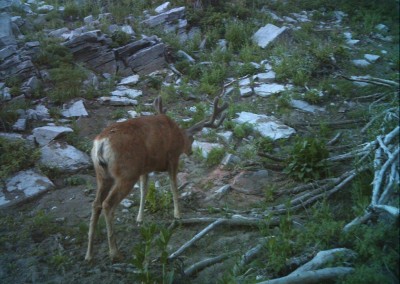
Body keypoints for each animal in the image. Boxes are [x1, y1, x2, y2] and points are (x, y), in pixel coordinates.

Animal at [84, 95, 228, 262]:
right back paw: (115, 253)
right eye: (192, 139)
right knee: (107, 204)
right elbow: (173, 186)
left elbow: (144, 190)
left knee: (96, 204)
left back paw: (89, 254)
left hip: (103, 174)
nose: (190, 151)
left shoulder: (145, 168)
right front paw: (177, 215)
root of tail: (101, 143)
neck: (178, 134)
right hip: (126, 173)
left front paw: (140, 218)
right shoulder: (172, 157)